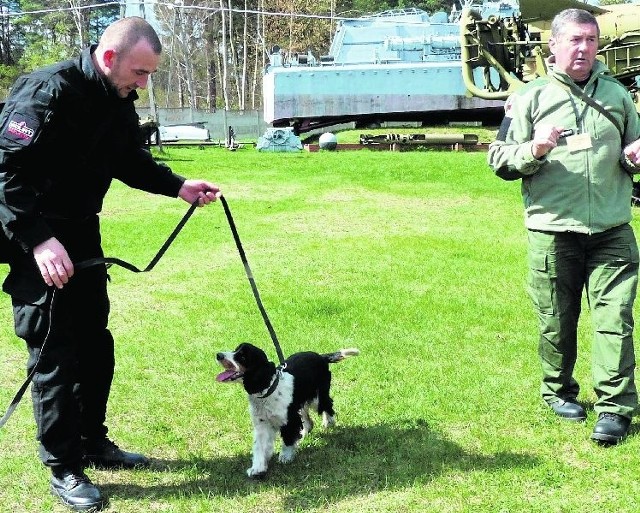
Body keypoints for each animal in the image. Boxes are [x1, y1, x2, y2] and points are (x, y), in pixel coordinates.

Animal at [216, 342, 360, 478]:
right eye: (235, 350)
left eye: (242, 357)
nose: (218, 355)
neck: (268, 390)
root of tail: (321, 356)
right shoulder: (262, 423)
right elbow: (259, 446)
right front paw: (257, 469)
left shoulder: (289, 419)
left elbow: (288, 438)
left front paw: (285, 457)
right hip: (301, 402)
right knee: (307, 417)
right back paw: (304, 432)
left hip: (317, 397)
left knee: (327, 404)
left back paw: (328, 422)